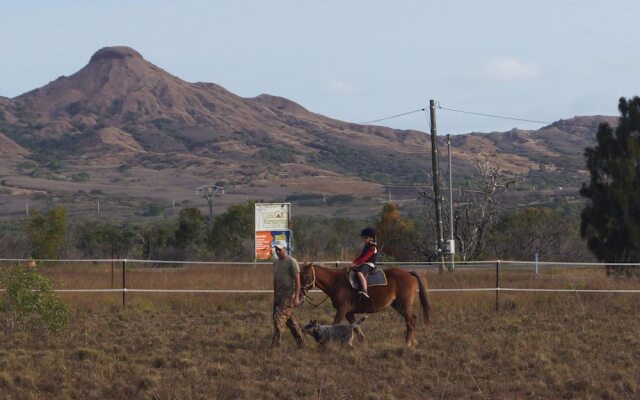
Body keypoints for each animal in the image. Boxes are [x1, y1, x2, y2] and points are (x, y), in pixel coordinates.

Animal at [298, 262, 430, 346]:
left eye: (305, 275)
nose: (299, 292)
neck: (336, 281)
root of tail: (408, 273)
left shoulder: (342, 310)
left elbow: (335, 325)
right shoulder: (349, 313)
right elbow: (356, 328)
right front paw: (364, 344)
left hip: (404, 305)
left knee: (410, 322)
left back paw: (407, 343)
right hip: (399, 306)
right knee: (413, 319)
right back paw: (413, 341)